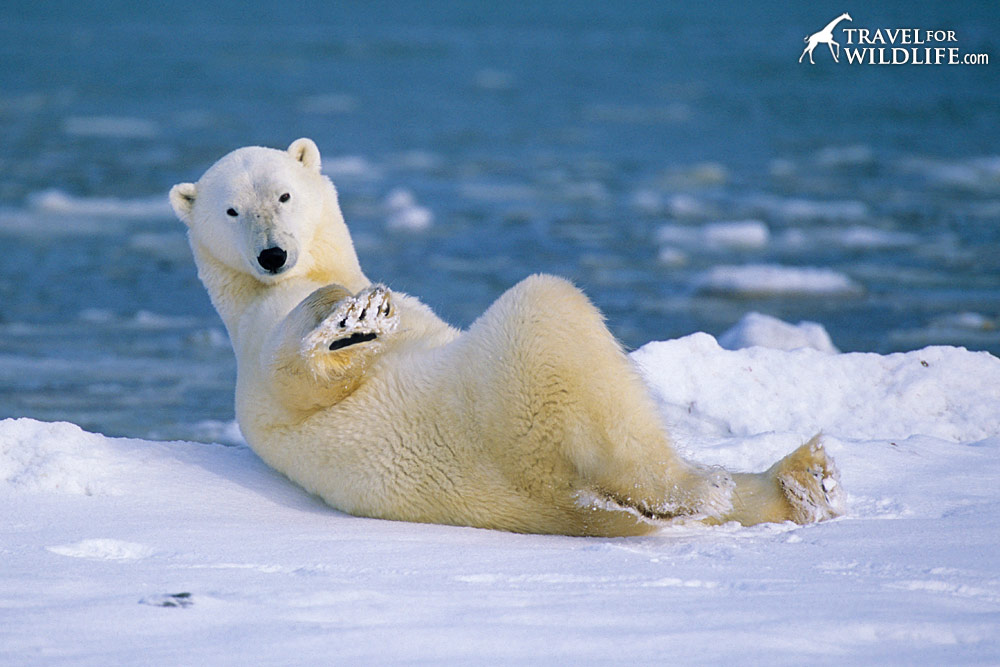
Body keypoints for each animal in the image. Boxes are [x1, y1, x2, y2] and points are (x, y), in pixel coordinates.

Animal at [172, 141, 844, 536]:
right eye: (232, 210)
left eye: (284, 194)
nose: (272, 253)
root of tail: (553, 504)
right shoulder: (260, 341)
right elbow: (296, 381)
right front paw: (349, 320)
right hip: (500, 413)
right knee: (556, 320)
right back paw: (707, 487)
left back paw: (805, 480)